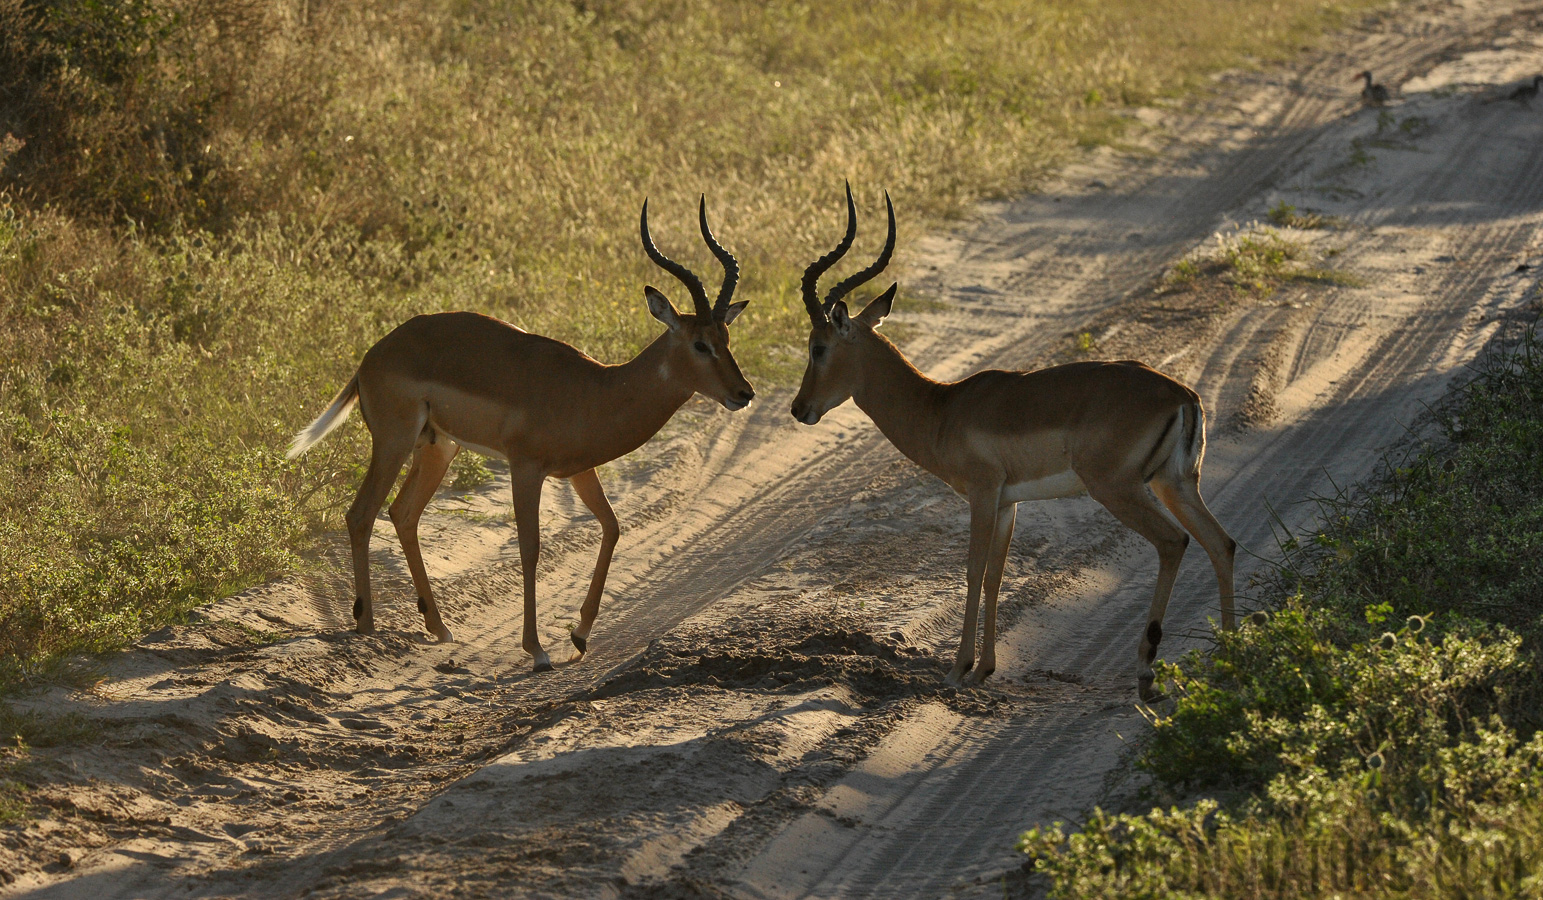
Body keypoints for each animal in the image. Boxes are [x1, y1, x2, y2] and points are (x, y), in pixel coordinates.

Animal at [290, 199, 752, 676]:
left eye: (726, 336)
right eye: (700, 344)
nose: (744, 393)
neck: (596, 388)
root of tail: (371, 356)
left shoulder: (580, 470)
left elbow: (612, 527)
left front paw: (579, 636)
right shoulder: (526, 468)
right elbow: (530, 547)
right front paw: (538, 650)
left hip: (438, 447)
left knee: (402, 513)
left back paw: (438, 628)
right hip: (393, 442)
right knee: (361, 513)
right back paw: (365, 626)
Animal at [790, 188, 1234, 697]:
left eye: (818, 347)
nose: (799, 408)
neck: (942, 408)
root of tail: (1182, 395)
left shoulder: (983, 493)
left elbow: (972, 569)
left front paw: (957, 670)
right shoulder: (1008, 502)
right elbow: (996, 576)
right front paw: (985, 667)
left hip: (1118, 489)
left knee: (1174, 542)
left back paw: (1146, 669)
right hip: (1175, 484)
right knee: (1222, 543)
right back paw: (1232, 655)